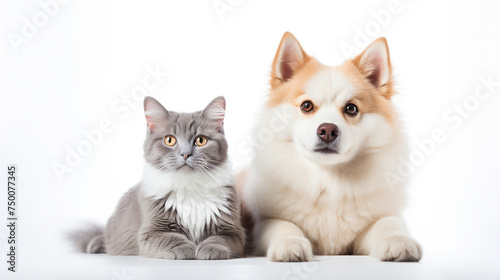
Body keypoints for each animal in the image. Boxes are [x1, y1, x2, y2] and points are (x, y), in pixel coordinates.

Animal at [70, 96, 246, 260]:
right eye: (170, 140)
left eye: (200, 140)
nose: (185, 154)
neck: (188, 187)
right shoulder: (151, 230)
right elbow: (171, 239)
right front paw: (186, 248)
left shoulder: (232, 230)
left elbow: (219, 239)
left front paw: (209, 249)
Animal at [242, 32, 422, 262]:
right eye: (306, 106)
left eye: (351, 108)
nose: (327, 130)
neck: (328, 181)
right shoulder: (263, 223)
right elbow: (283, 225)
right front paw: (290, 244)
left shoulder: (378, 220)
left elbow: (388, 222)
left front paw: (398, 241)